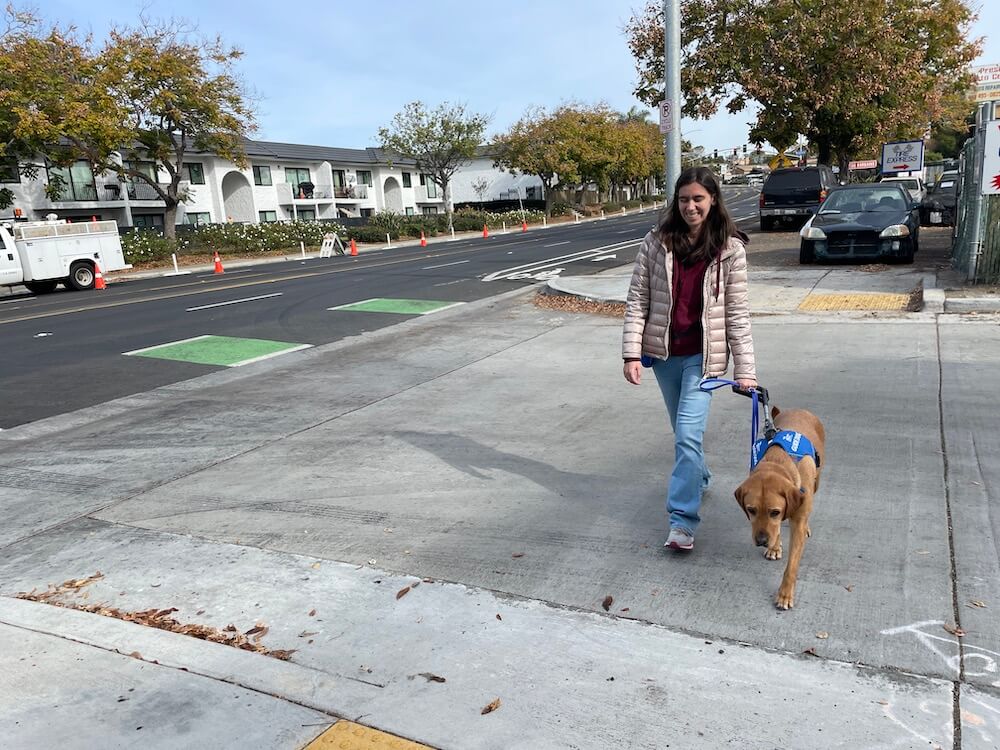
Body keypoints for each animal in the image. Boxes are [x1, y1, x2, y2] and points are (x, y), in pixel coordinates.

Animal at [732, 408, 824, 612]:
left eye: (774, 512)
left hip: (817, 481)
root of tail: (800, 409)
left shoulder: (796, 520)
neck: (780, 460)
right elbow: (777, 529)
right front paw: (774, 547)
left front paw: (785, 594)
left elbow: (792, 566)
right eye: (751, 510)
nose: (761, 541)